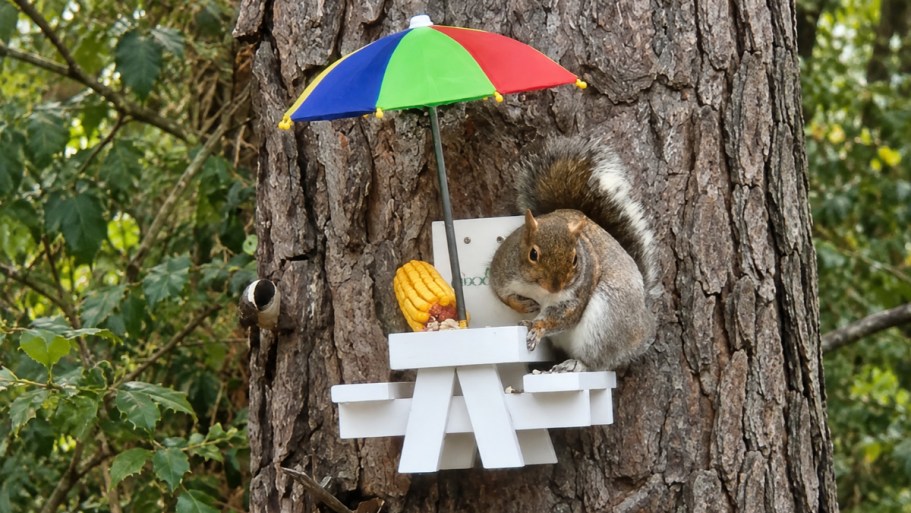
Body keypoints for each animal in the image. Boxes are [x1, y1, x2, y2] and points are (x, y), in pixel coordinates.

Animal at [489, 136, 659, 372]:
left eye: (575, 259)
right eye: (533, 254)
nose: (555, 287)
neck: (539, 290)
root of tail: (645, 324)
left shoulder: (576, 296)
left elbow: (561, 317)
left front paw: (536, 326)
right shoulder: (503, 269)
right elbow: (502, 294)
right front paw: (523, 305)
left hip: (606, 320)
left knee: (600, 361)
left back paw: (574, 365)